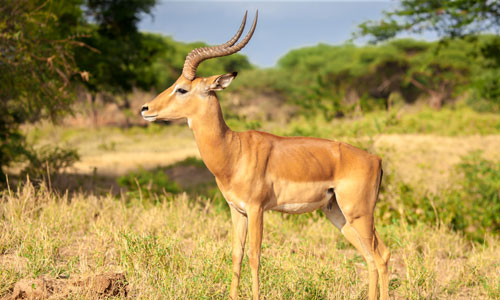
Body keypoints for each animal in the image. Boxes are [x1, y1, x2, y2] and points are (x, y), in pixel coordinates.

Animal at [141, 11, 390, 300]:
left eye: (182, 88)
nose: (146, 109)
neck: (233, 150)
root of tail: (375, 159)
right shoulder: (236, 210)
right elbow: (236, 254)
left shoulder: (257, 209)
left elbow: (254, 256)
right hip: (339, 214)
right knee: (370, 257)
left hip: (359, 214)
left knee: (381, 255)